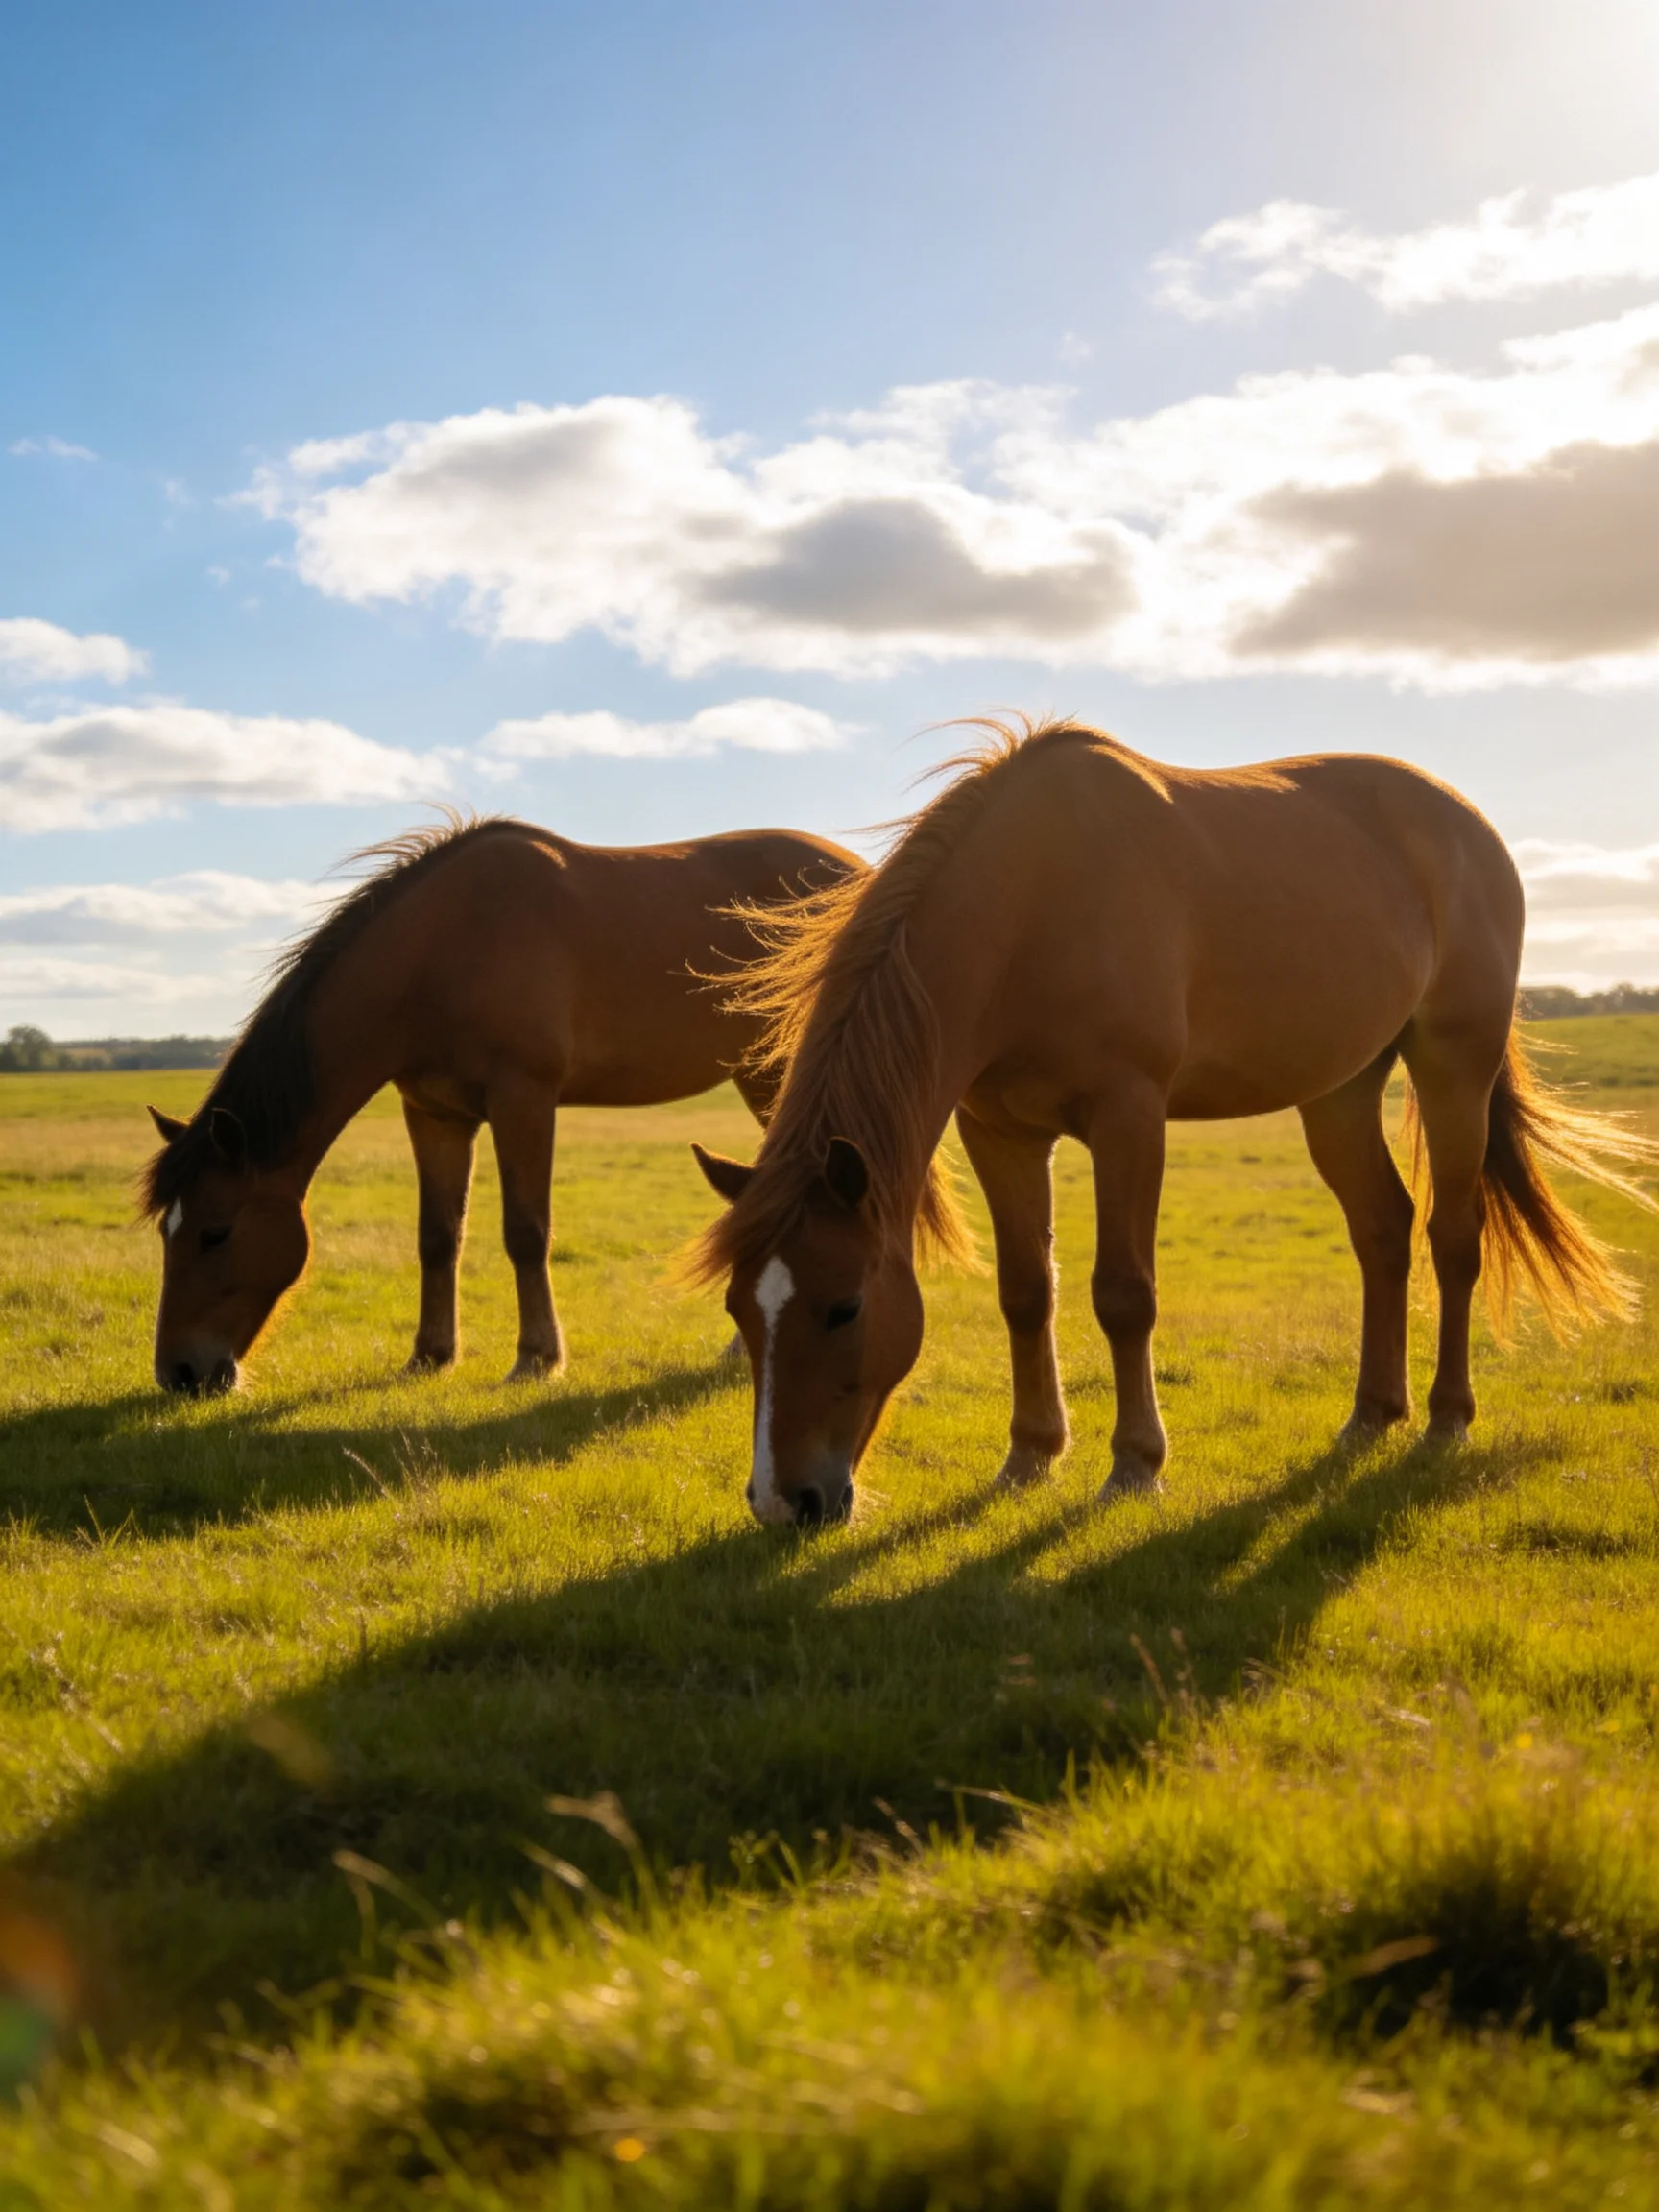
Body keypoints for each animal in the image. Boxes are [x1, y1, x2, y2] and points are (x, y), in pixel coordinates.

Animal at [143, 815, 860, 1394]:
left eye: (215, 1232)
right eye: (166, 1232)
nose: (179, 1373)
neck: (439, 950)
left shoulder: (524, 1100)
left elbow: (526, 1231)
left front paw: (538, 1358)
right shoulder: (436, 1116)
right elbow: (438, 1235)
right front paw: (431, 1355)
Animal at [691, 719, 1657, 1528]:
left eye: (844, 1307)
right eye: (739, 1309)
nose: (783, 1501)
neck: (1033, 905)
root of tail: (1467, 825)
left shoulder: (1129, 1117)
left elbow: (1123, 1294)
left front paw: (1135, 1465)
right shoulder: (998, 1131)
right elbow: (1024, 1289)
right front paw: (1029, 1456)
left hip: (1454, 1062)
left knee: (1455, 1237)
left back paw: (1447, 1418)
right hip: (1341, 1090)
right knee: (1383, 1229)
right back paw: (1369, 1415)